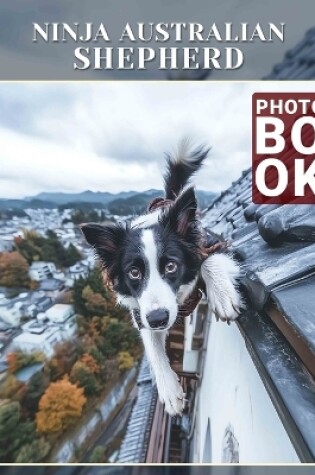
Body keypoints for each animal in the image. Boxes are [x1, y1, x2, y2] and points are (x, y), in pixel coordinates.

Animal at [81, 141, 242, 416]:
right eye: (134, 273)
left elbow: (209, 260)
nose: (159, 319)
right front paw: (169, 390)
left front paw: (222, 296)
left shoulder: (213, 243)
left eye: (171, 266)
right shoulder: (142, 312)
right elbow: (152, 347)